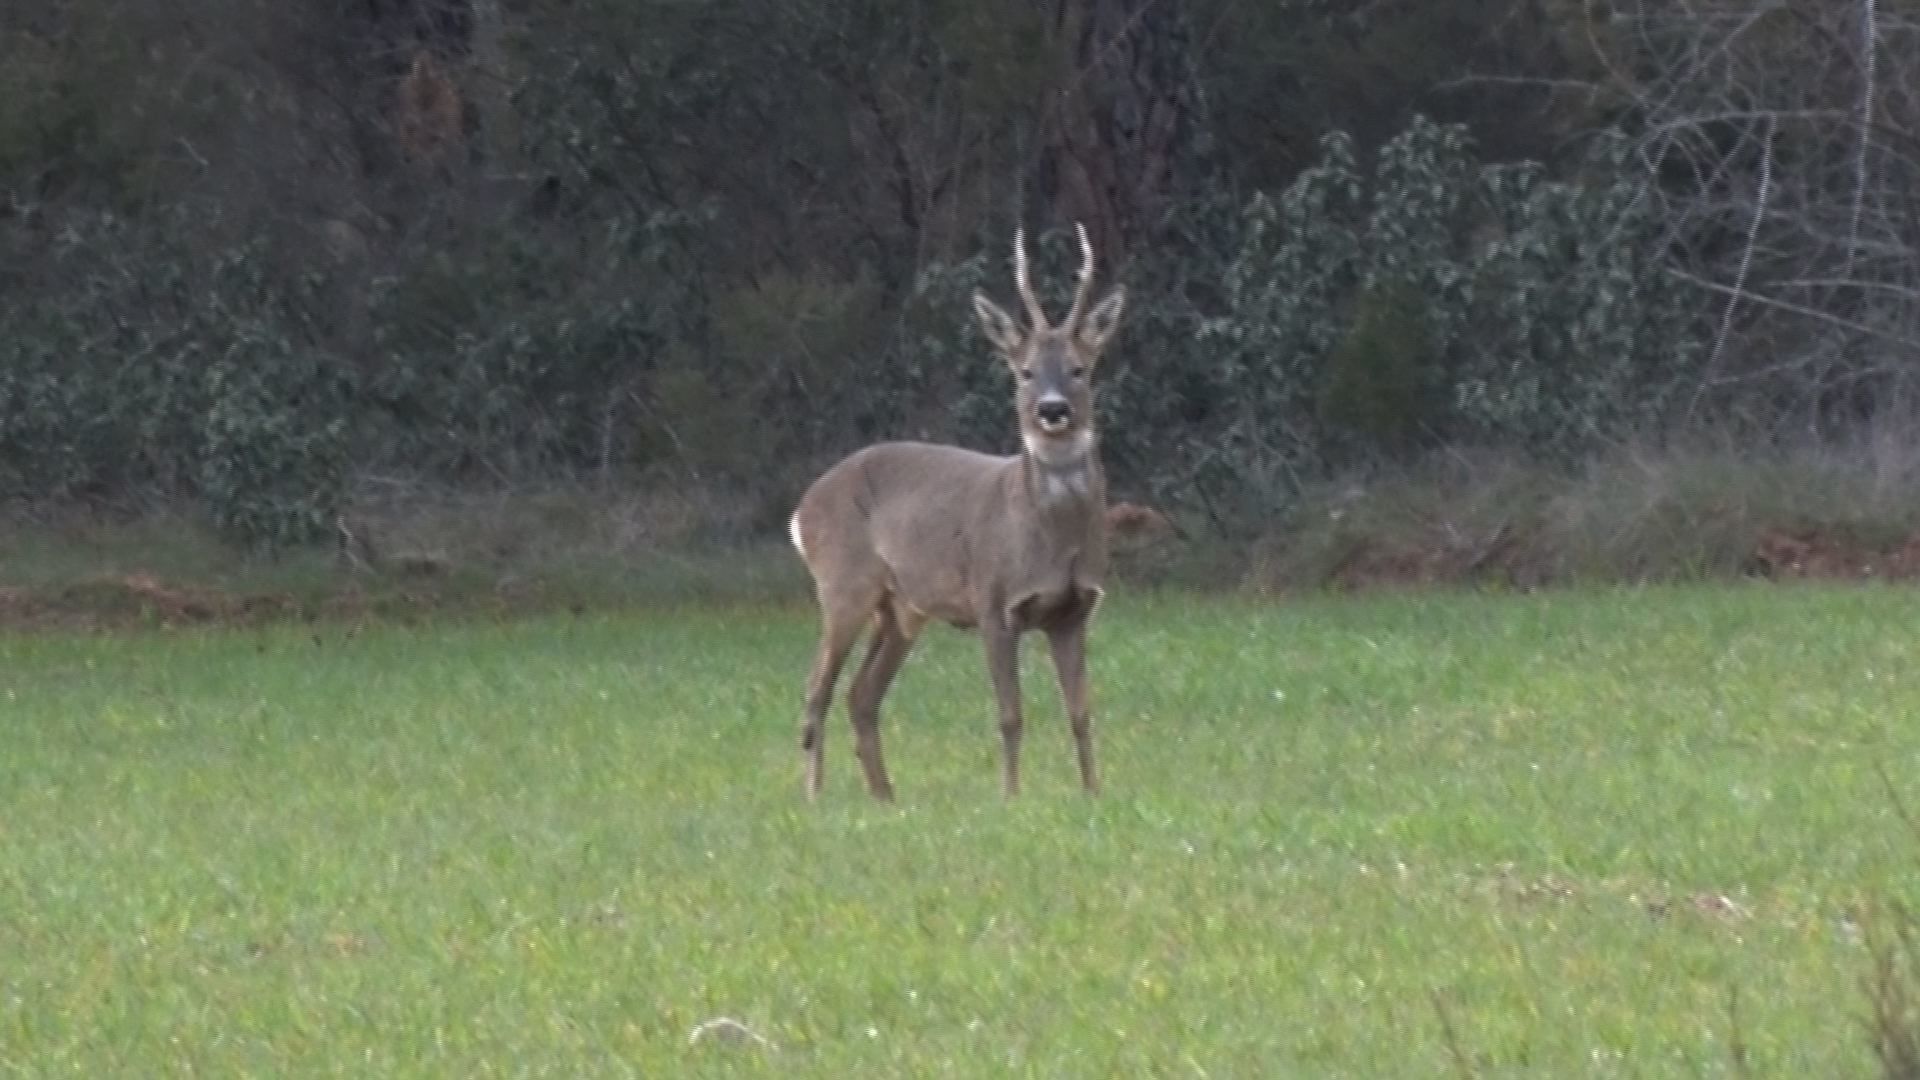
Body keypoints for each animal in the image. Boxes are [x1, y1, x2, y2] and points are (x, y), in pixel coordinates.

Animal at [791, 222, 1121, 795]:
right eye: (1025, 372)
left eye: (1079, 369)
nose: (1052, 410)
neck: (1050, 539)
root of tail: (801, 511)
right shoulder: (993, 600)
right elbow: (1010, 715)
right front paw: (1011, 796)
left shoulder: (1074, 610)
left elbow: (1081, 713)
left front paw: (1092, 794)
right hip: (842, 583)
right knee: (816, 691)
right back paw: (815, 797)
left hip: (901, 608)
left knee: (861, 695)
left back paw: (886, 797)